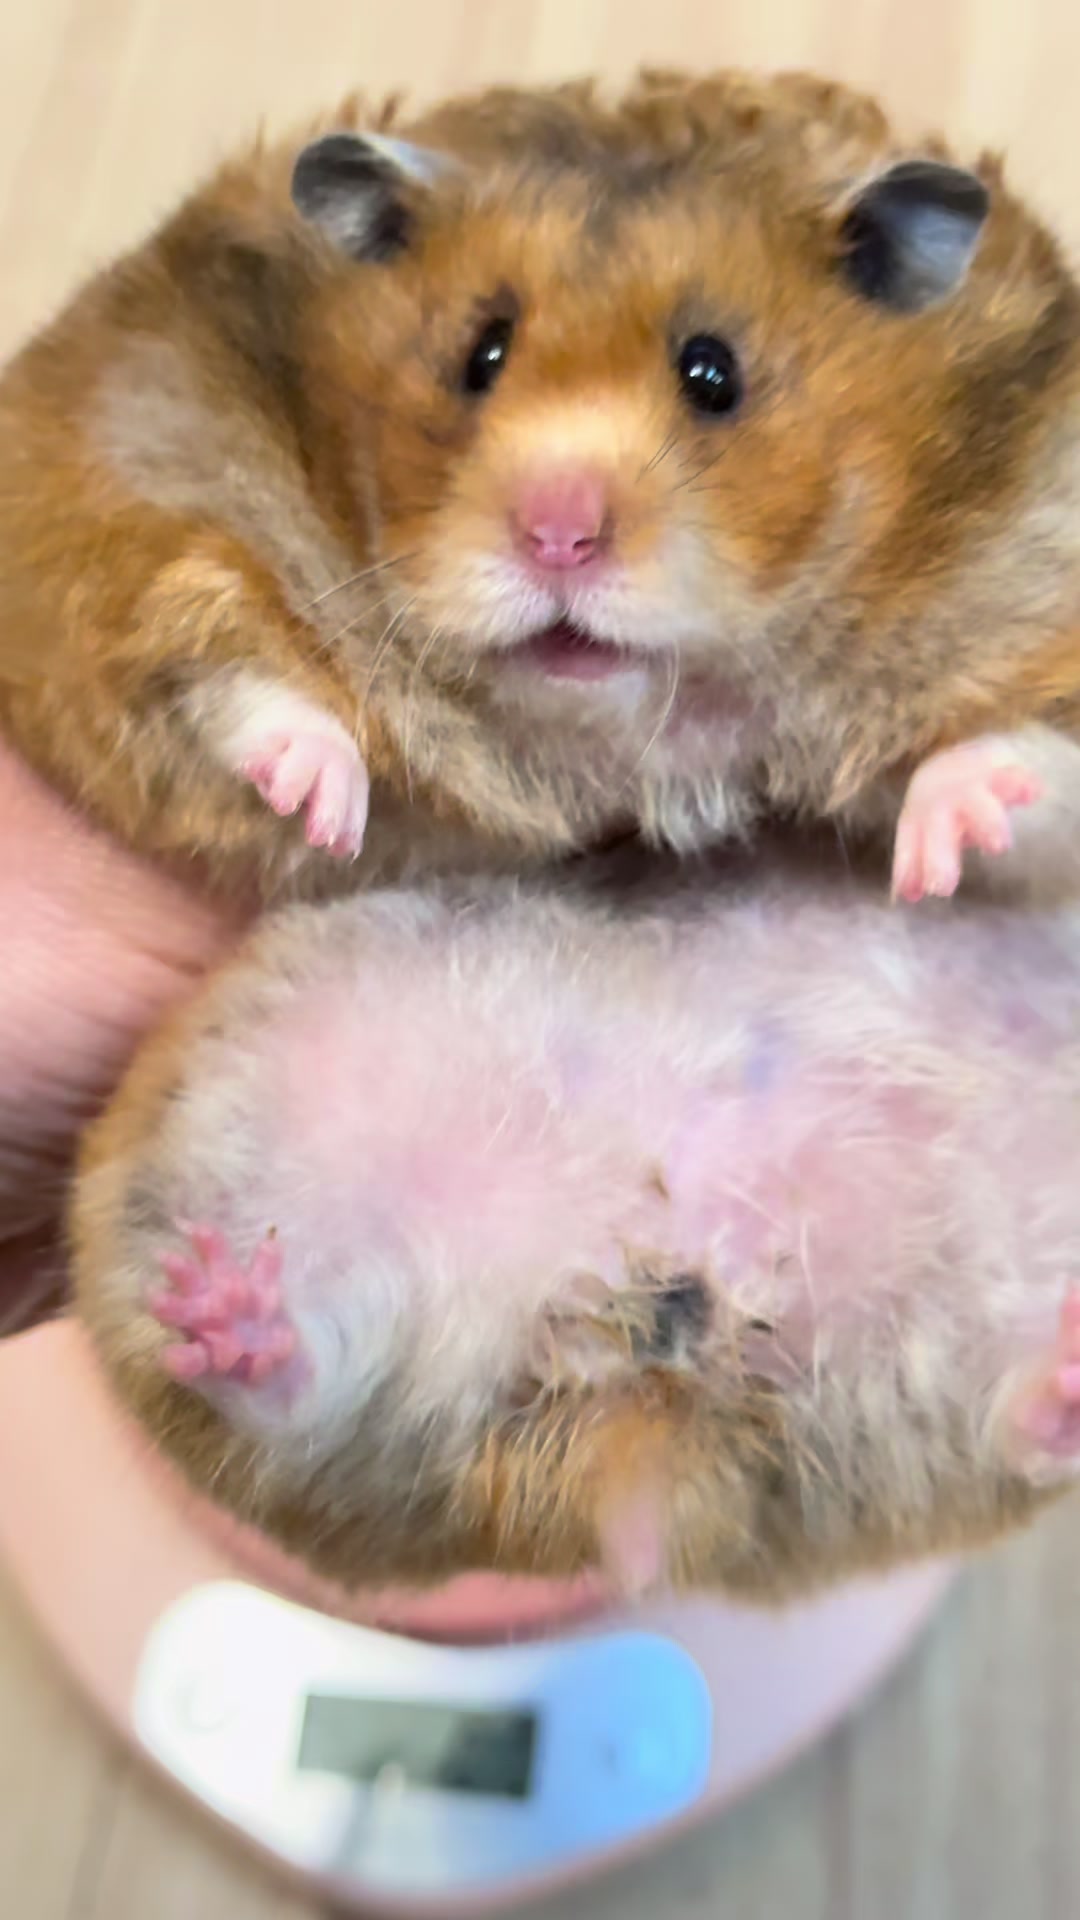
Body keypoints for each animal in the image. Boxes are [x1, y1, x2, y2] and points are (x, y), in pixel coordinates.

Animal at [4, 68, 1080, 901]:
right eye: (480, 353)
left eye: (713, 372)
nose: (559, 537)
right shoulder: (138, 481)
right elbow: (227, 671)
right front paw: (317, 807)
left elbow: (1019, 759)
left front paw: (943, 850)